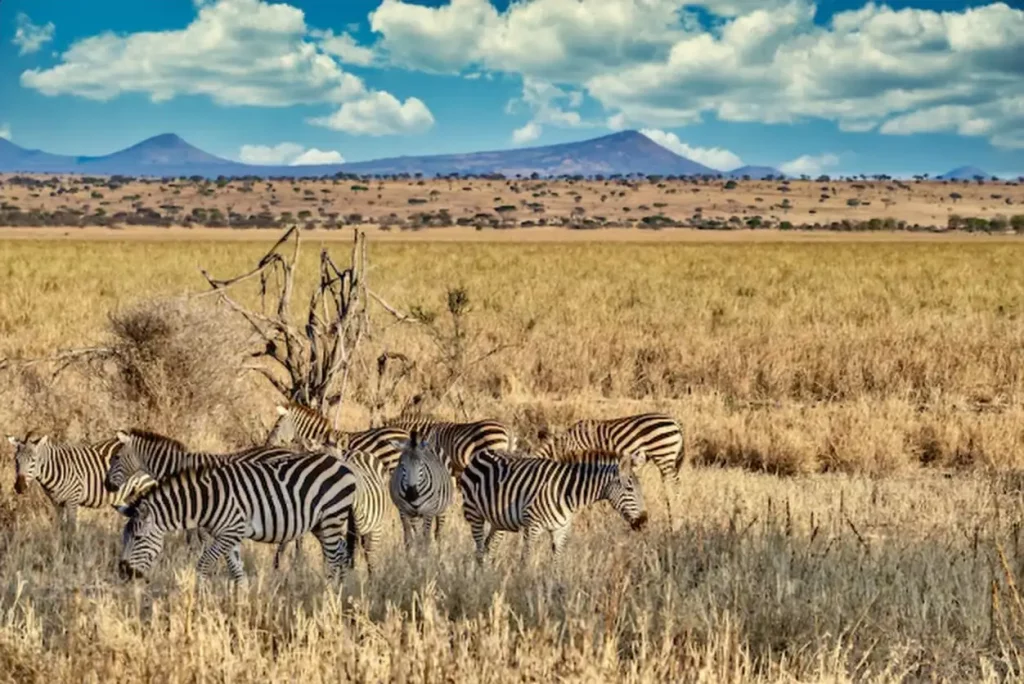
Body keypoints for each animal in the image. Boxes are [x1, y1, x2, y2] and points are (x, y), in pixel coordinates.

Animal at [7, 433, 159, 534]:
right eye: (16, 460)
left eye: (33, 460)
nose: (19, 487)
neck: (56, 468)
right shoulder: (57, 503)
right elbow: (61, 528)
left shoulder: (72, 500)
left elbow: (72, 528)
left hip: (146, 486)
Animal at [116, 452, 358, 583]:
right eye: (124, 538)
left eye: (138, 538)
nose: (124, 574)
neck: (207, 500)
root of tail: (342, 464)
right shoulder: (230, 536)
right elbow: (236, 571)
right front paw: (240, 604)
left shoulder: (231, 531)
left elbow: (203, 564)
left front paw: (200, 599)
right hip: (321, 524)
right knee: (341, 551)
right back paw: (339, 591)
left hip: (332, 517)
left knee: (334, 559)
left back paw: (328, 595)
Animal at [458, 448, 649, 564]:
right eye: (629, 489)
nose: (644, 522)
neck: (566, 492)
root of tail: (483, 452)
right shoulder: (532, 526)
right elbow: (526, 560)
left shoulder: (560, 529)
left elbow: (557, 561)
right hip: (474, 514)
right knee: (479, 550)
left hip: (499, 521)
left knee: (489, 547)